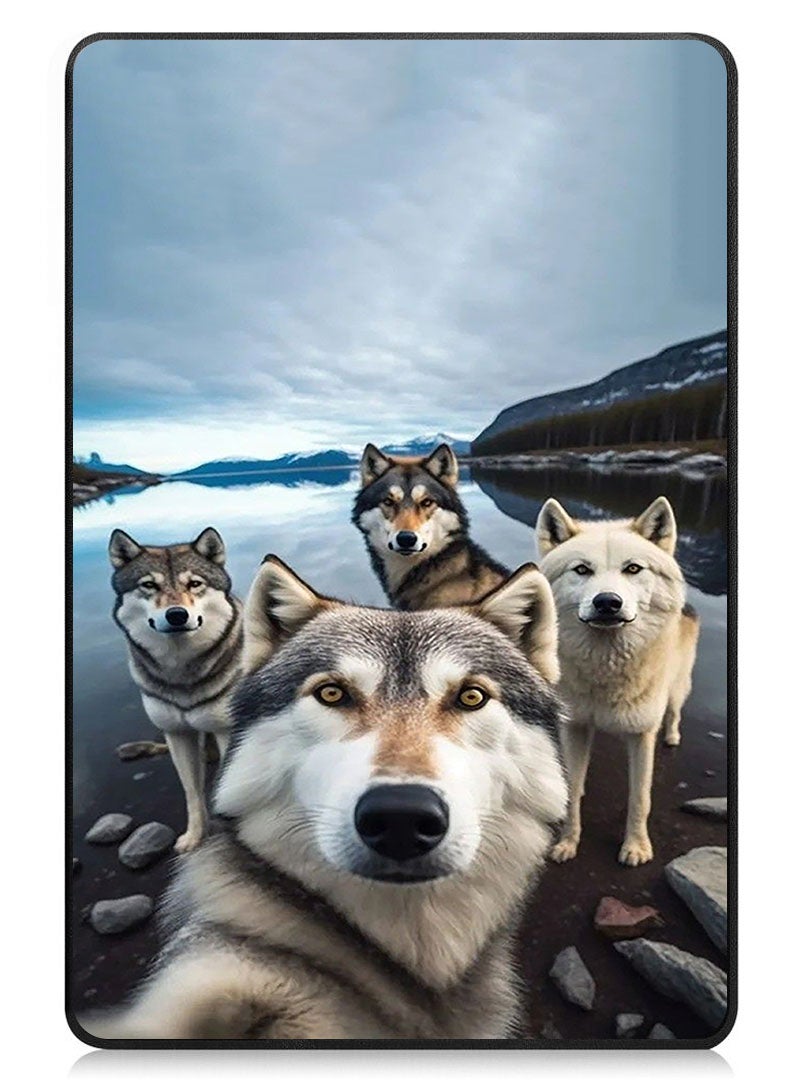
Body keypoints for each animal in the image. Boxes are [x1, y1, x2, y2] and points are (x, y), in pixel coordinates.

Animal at [108, 527, 244, 853]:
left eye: (195, 584)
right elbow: (191, 792)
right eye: (148, 585)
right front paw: (195, 836)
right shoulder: (177, 735)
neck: (182, 672)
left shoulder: (227, 732)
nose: (177, 615)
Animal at [536, 495, 699, 867]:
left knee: (675, 711)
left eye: (633, 569)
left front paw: (636, 847)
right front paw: (567, 842)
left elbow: (640, 799)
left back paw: (673, 735)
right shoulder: (576, 726)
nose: (608, 602)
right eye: (582, 570)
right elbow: (572, 792)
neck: (606, 669)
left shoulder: (641, 735)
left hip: (677, 689)